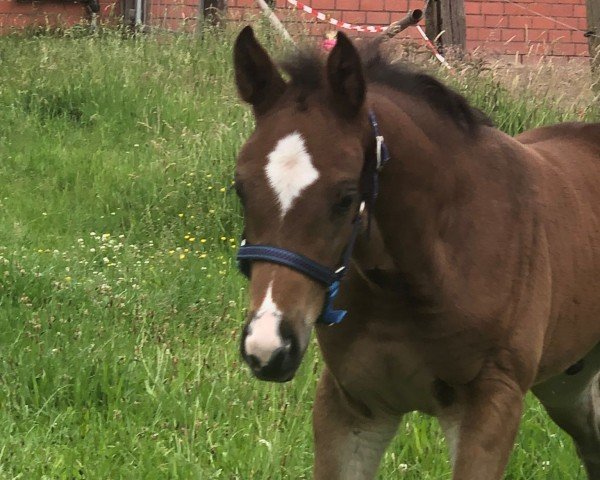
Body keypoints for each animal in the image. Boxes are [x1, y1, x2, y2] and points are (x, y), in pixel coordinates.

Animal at [231, 27, 600, 480]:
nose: (268, 347)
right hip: (568, 383)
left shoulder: (491, 402)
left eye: (345, 196)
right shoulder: (352, 407)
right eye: (240, 188)